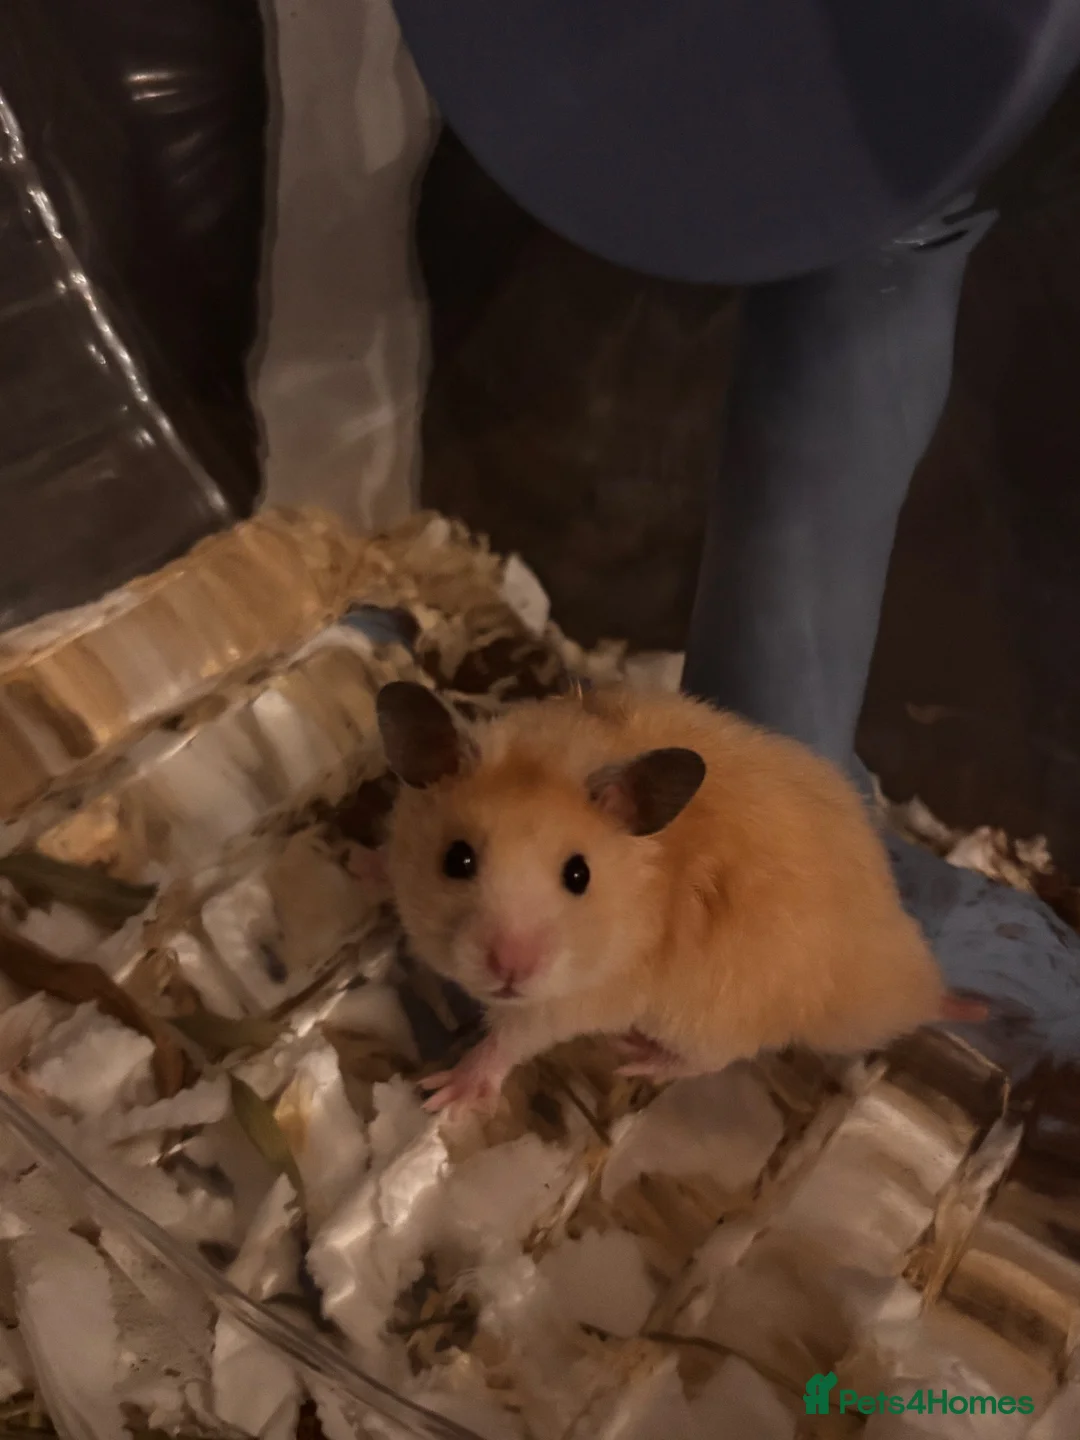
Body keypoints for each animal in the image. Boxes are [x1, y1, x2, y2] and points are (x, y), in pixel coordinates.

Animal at [376, 680, 973, 1115]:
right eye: (457, 860)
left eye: (578, 874)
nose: (510, 969)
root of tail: (911, 987)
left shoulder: (577, 998)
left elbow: (508, 1042)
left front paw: (443, 1093)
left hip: (711, 1018)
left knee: (712, 1061)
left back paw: (639, 1057)